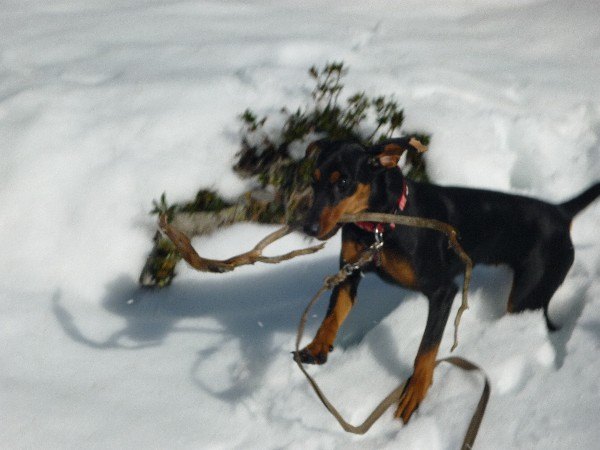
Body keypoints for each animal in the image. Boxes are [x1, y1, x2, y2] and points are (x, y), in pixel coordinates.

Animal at [296, 136, 600, 422]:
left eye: (344, 181)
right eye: (313, 180)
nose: (308, 227)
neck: (381, 225)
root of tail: (560, 212)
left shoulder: (443, 291)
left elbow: (426, 349)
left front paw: (415, 393)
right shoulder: (349, 271)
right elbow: (333, 314)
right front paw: (317, 347)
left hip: (531, 291)